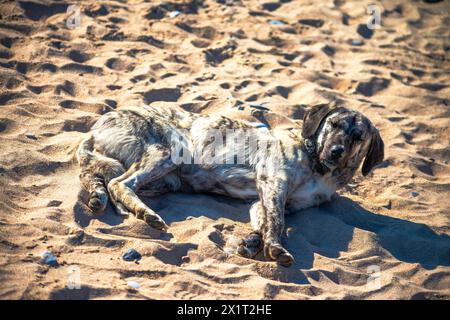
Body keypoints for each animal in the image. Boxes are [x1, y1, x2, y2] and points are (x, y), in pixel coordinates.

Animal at [76, 102, 384, 264]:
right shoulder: (274, 181)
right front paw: (275, 247)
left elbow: (266, 221)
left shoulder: (269, 199)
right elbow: (277, 222)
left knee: (97, 176)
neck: (320, 168)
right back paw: (145, 213)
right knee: (120, 183)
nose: (335, 151)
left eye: (357, 137)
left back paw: (99, 198)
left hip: (164, 180)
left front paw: (252, 242)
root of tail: (97, 126)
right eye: (333, 125)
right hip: (172, 149)